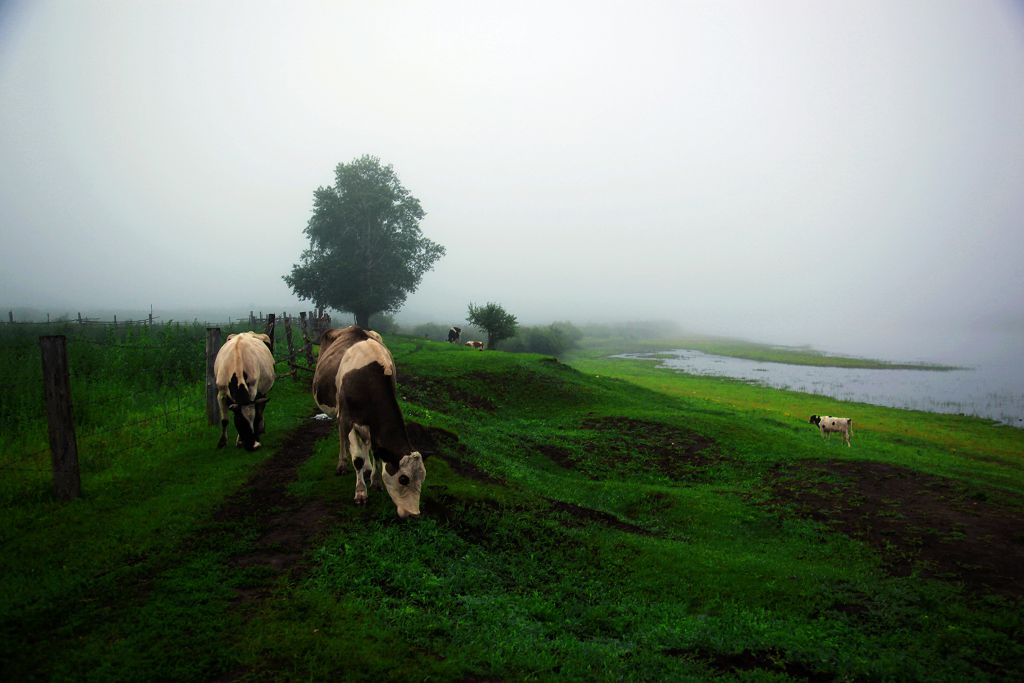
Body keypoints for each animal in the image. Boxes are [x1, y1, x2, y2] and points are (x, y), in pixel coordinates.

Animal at [311, 327, 423, 518]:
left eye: (422, 478)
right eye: (403, 479)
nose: (414, 513)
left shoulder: (374, 426)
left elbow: (376, 452)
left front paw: (376, 481)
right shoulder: (348, 417)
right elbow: (357, 458)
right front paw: (361, 493)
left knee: (366, 444)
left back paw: (368, 469)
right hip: (340, 413)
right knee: (342, 437)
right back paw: (342, 465)